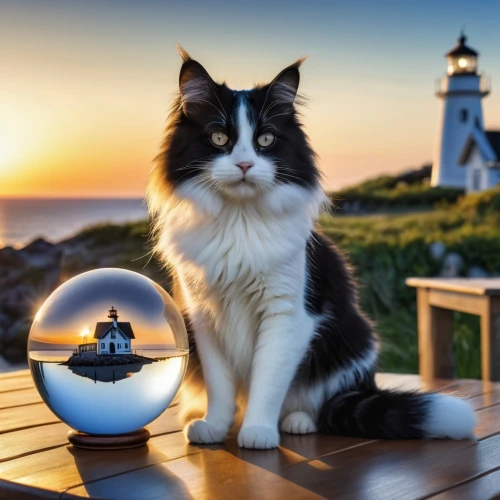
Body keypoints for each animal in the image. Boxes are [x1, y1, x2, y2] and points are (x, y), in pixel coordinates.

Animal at [146, 48, 476, 452]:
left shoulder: (286, 314)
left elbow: (268, 381)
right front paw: (215, 426)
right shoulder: (205, 317)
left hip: (354, 338)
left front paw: (258, 431)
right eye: (219, 137)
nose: (244, 164)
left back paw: (296, 422)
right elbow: (220, 386)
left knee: (318, 404)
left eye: (266, 139)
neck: (239, 221)